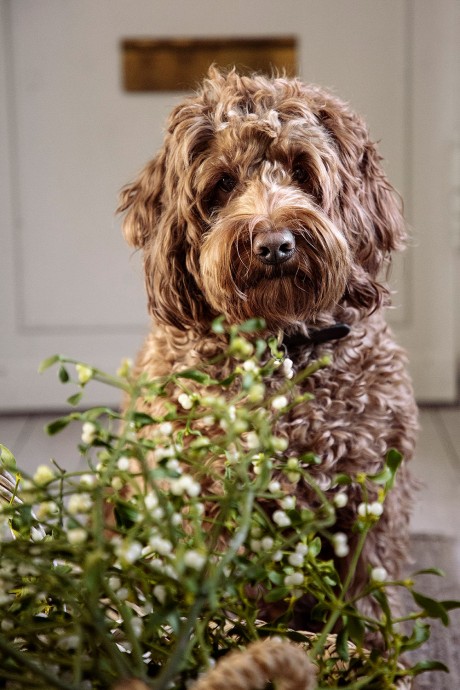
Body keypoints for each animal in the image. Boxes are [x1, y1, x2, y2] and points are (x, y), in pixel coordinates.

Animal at [117, 67, 416, 628]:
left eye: (302, 171)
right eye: (223, 183)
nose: (275, 245)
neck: (283, 343)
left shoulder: (370, 496)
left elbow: (367, 589)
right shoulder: (209, 501)